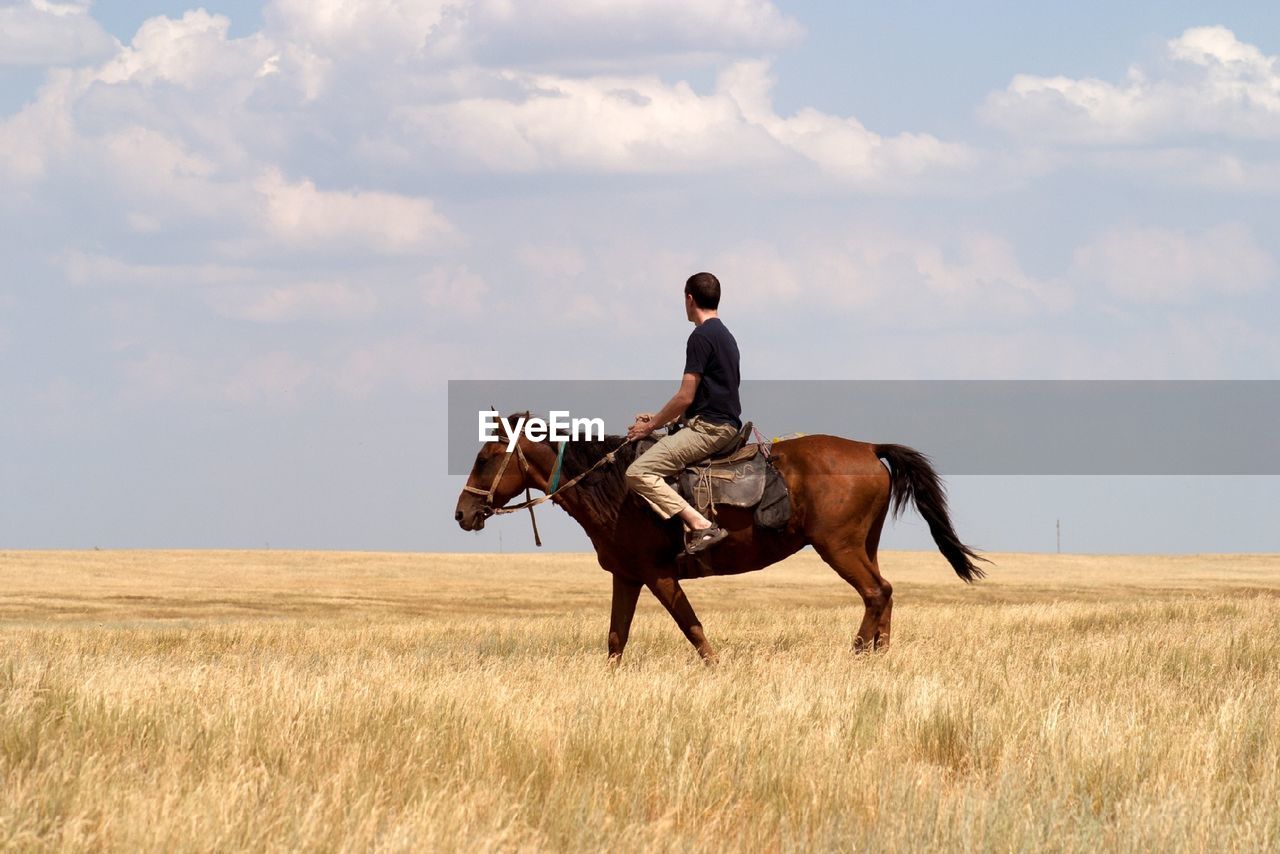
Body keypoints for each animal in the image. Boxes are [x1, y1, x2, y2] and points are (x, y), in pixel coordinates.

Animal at [455, 415, 986, 662]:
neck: (615, 489)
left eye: (485, 457)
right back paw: (879, 656)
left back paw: (856, 655)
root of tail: (870, 449)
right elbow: (616, 640)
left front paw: (717, 670)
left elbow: (693, 630)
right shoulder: (627, 577)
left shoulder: (658, 575)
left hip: (839, 549)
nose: (462, 513)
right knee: (886, 592)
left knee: (875, 593)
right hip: (862, 546)